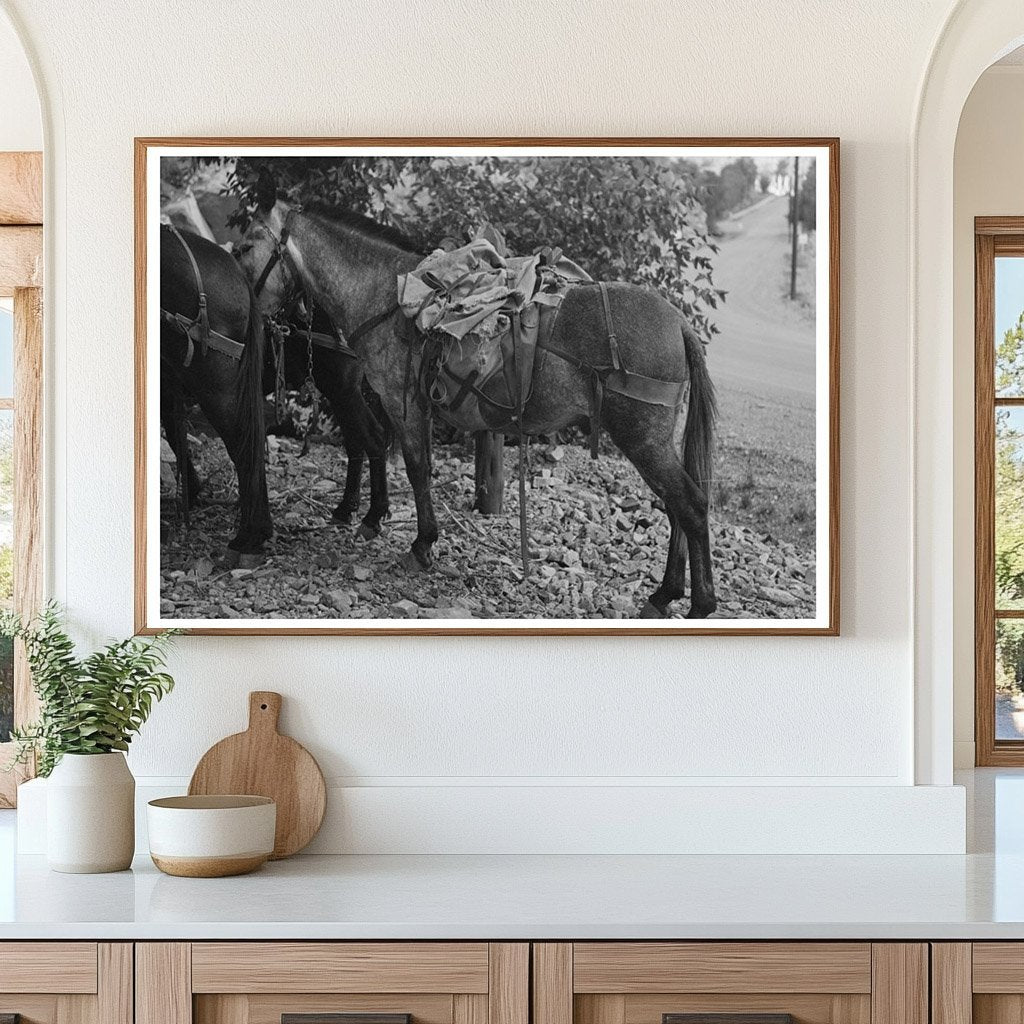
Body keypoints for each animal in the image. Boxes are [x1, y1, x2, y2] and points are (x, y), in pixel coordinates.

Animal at [239, 197, 720, 614]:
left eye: (245, 246)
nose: (246, 311)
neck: (390, 297)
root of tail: (679, 323)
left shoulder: (403, 404)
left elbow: (415, 469)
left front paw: (421, 544)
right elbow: (410, 464)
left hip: (643, 439)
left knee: (691, 504)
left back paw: (700, 604)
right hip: (653, 441)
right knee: (675, 506)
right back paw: (665, 593)